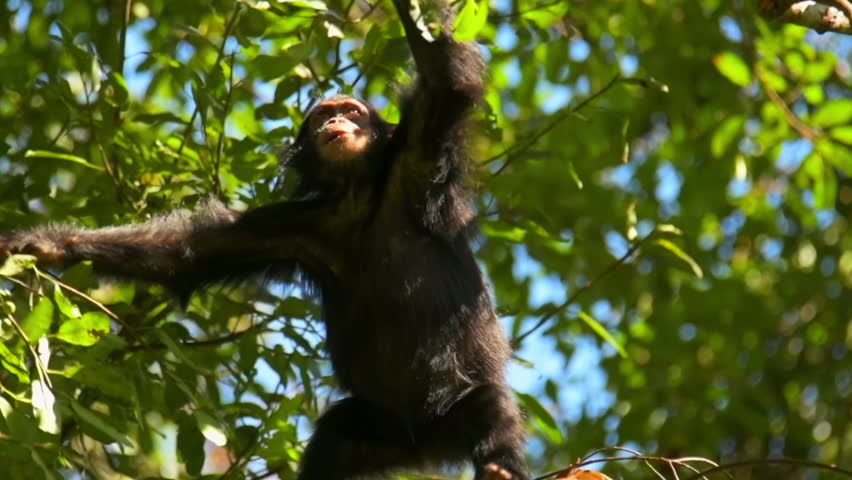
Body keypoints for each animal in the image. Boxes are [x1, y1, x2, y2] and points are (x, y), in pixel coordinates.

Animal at [0, 1, 529, 479]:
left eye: (353, 110)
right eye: (321, 117)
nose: (336, 122)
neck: (358, 195)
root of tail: (425, 446)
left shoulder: (420, 152)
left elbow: (446, 81)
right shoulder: (291, 226)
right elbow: (188, 251)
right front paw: (45, 244)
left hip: (453, 410)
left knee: (493, 407)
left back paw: (498, 467)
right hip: (376, 432)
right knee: (335, 439)